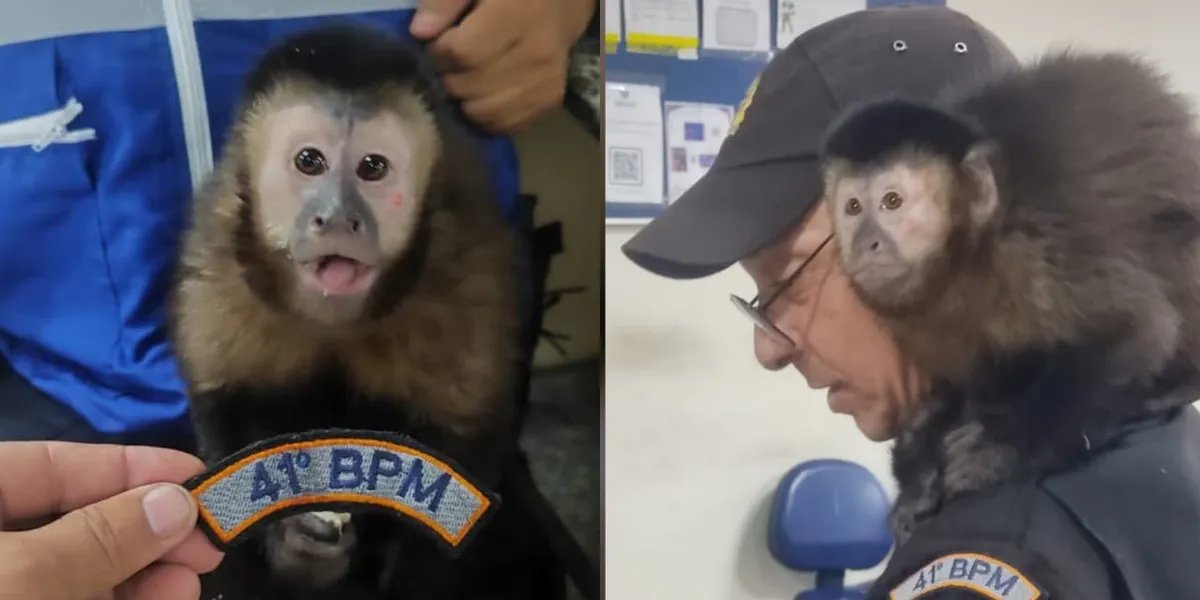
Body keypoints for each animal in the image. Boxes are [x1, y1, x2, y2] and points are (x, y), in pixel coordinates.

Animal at [166, 23, 525, 598]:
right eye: (309, 161)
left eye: (372, 168)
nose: (336, 217)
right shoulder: (217, 266)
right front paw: (299, 547)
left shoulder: (469, 277)